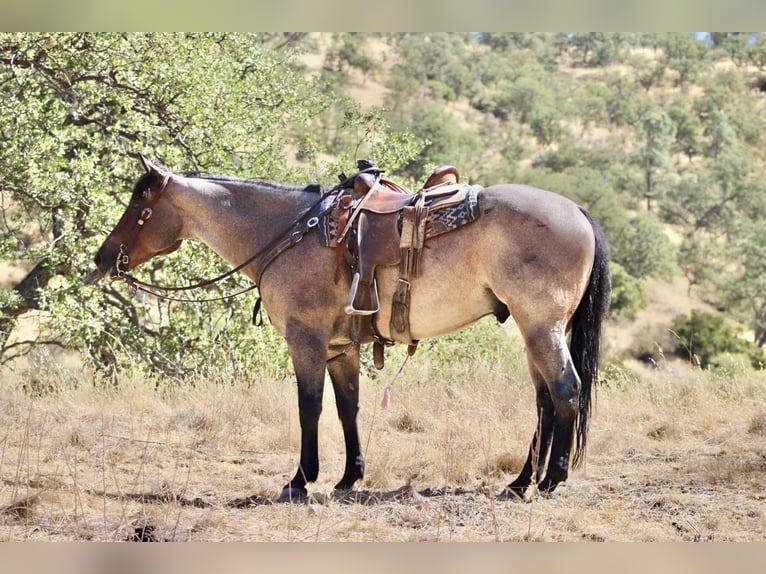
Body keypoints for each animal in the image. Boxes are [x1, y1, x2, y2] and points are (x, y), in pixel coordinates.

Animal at [86, 155, 611, 501]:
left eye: (141, 209)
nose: (102, 258)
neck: (290, 235)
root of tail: (579, 212)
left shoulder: (307, 339)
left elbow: (309, 408)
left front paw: (300, 480)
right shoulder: (341, 347)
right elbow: (347, 409)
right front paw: (348, 477)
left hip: (541, 326)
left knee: (565, 391)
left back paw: (551, 480)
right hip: (535, 330)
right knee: (544, 400)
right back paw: (520, 482)